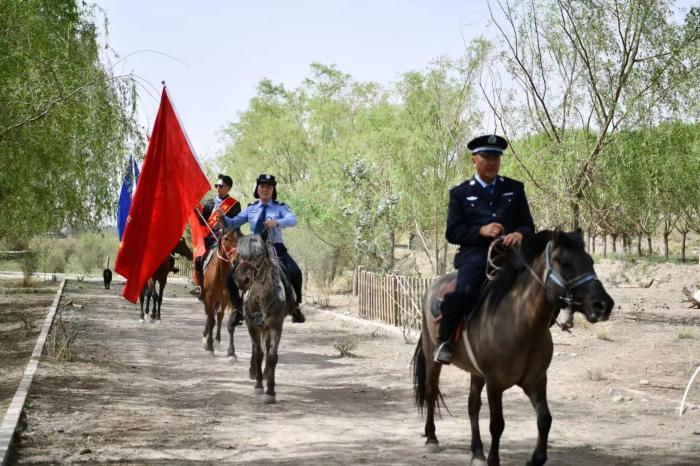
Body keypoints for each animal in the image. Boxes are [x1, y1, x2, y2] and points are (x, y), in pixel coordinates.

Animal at [232, 233, 292, 404]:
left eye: (259, 254)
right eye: (239, 254)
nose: (242, 279)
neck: (260, 299)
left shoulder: (276, 327)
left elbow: (272, 357)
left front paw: (270, 391)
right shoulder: (252, 327)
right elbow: (258, 354)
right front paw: (258, 386)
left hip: (267, 328)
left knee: (267, 348)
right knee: (257, 349)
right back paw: (254, 372)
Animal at [412, 230, 616, 466]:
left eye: (590, 261)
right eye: (565, 264)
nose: (603, 305)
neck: (521, 324)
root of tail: (434, 285)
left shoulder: (536, 380)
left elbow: (545, 418)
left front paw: (536, 459)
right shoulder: (495, 384)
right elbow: (497, 424)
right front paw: (494, 460)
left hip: (476, 373)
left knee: (473, 406)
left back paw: (477, 452)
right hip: (432, 357)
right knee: (431, 391)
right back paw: (432, 438)